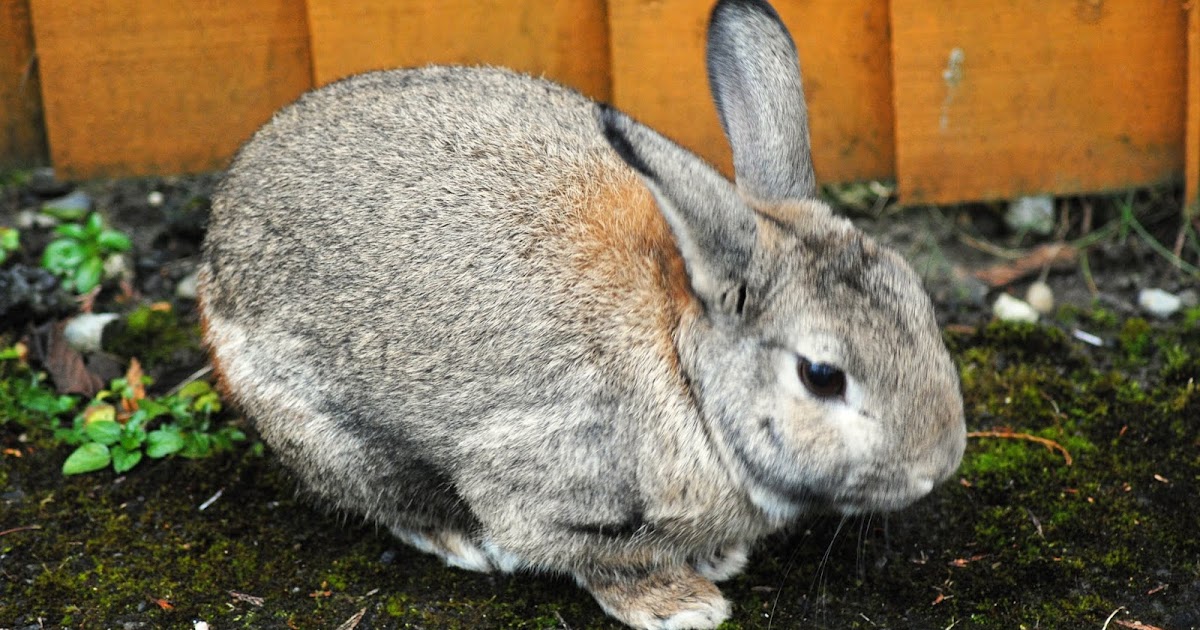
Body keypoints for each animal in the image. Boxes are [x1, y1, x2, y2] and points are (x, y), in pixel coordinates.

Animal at [196, 0, 967, 627]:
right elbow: (597, 556)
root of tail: (216, 243)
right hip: (326, 430)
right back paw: (461, 542)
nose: (939, 464)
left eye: (918, 302)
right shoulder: (538, 486)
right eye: (822, 376)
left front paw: (717, 559)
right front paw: (681, 604)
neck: (686, 368)